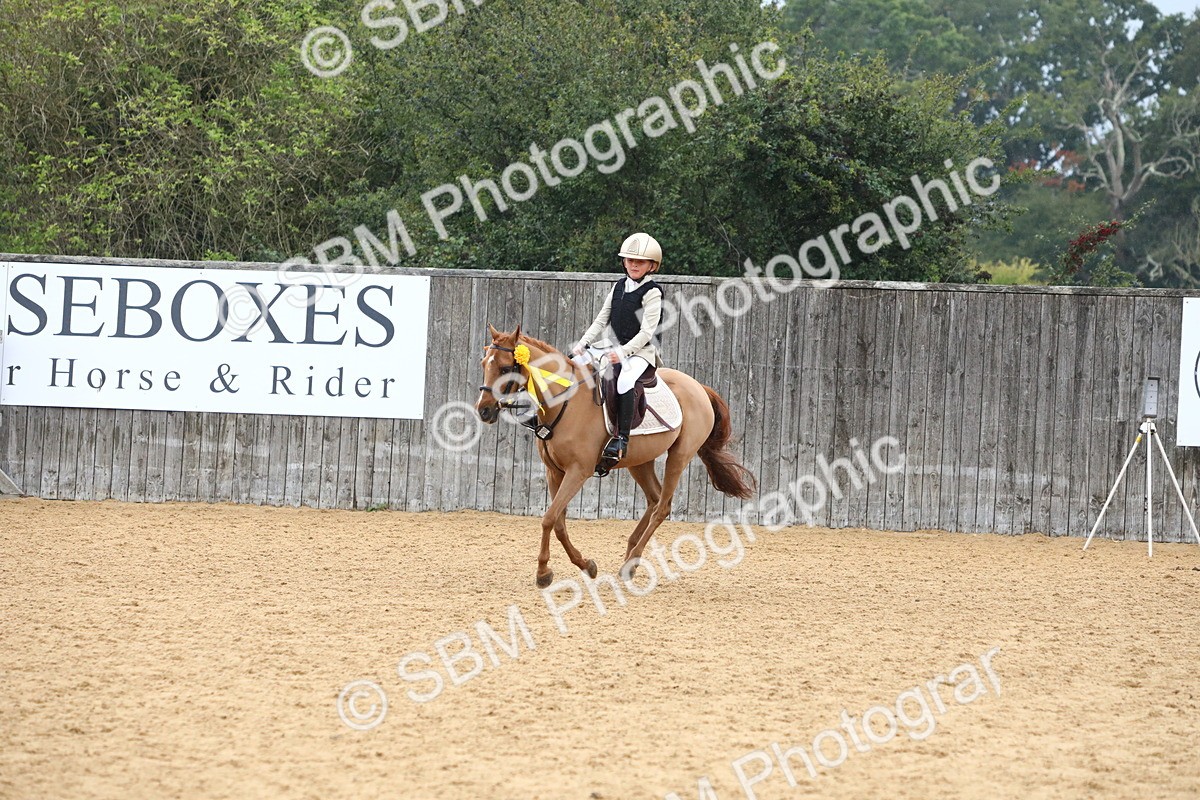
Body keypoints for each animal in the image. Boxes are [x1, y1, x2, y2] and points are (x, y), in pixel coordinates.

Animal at [475, 324, 756, 587]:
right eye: (484, 364)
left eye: (504, 369)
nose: (483, 411)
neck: (565, 402)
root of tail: (699, 386)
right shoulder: (554, 471)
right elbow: (558, 522)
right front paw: (585, 565)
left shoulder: (578, 471)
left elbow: (549, 518)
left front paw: (544, 573)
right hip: (640, 461)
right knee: (654, 499)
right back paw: (630, 555)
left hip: (679, 455)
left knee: (662, 507)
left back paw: (631, 564)